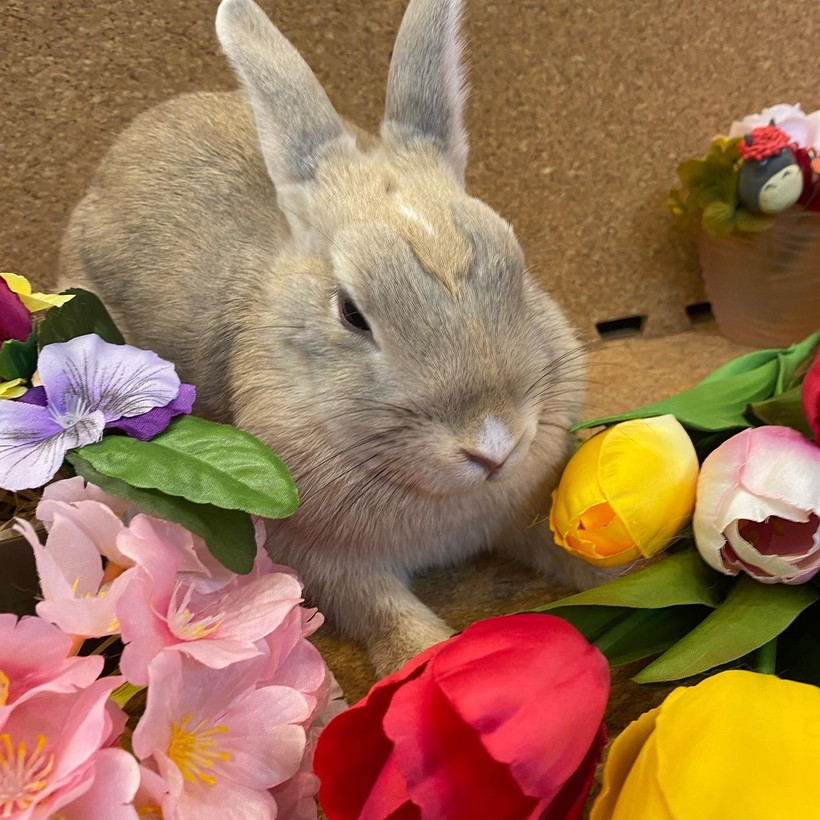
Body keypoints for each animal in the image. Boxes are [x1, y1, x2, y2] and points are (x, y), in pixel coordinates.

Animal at [59, 0, 601, 678]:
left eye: (517, 266)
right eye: (351, 313)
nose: (494, 445)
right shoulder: (323, 559)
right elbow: (383, 615)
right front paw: (425, 658)